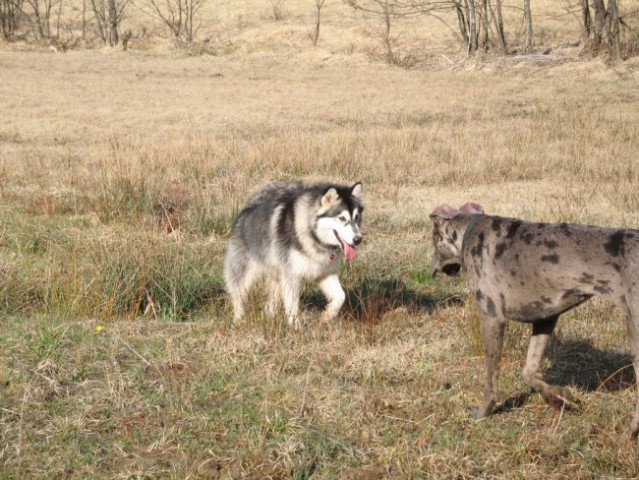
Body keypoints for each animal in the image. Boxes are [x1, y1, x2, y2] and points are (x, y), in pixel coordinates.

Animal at [430, 201, 639, 440]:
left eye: (434, 237)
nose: (431, 269)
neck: (469, 230)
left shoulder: (491, 317)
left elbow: (491, 379)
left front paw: (483, 413)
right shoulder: (545, 317)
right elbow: (529, 371)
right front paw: (560, 397)